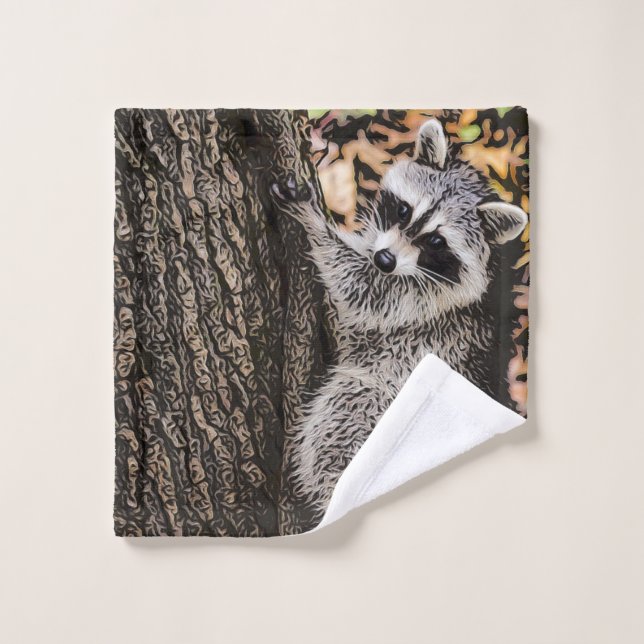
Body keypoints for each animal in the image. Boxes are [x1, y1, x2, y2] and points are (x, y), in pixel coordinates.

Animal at [271, 118, 528, 514]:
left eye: (437, 242)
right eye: (404, 210)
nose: (385, 260)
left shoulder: (425, 304)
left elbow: (362, 290)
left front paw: (315, 223)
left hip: (380, 400)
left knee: (343, 411)